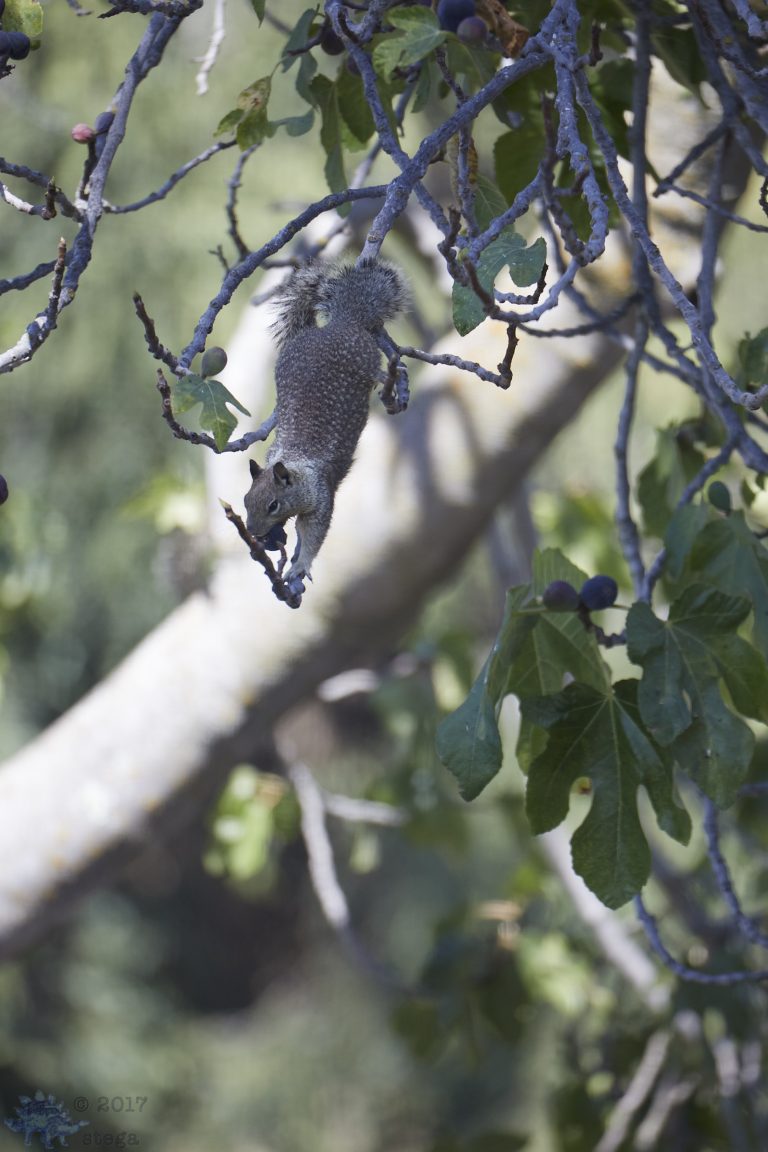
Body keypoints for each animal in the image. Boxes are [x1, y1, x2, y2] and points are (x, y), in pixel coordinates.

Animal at [244, 258, 409, 593]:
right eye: (245, 501)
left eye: (273, 505)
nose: (254, 532)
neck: (296, 462)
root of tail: (342, 322)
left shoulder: (322, 497)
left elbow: (314, 535)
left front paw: (300, 565)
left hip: (365, 360)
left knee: (377, 371)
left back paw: (392, 379)